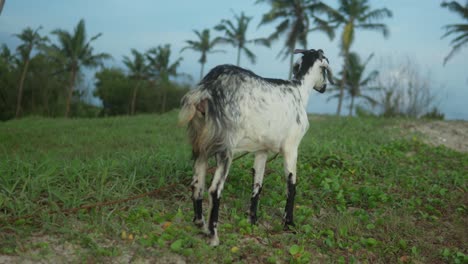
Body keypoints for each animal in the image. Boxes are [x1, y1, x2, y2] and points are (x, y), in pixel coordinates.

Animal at [178, 48, 332, 246]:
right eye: (325, 70)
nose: (324, 87)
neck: (298, 91)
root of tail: (207, 88)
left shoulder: (261, 150)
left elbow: (257, 184)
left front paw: (253, 221)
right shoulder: (291, 148)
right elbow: (292, 185)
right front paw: (289, 223)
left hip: (201, 146)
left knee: (197, 185)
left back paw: (200, 224)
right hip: (225, 148)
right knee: (214, 190)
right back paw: (213, 236)